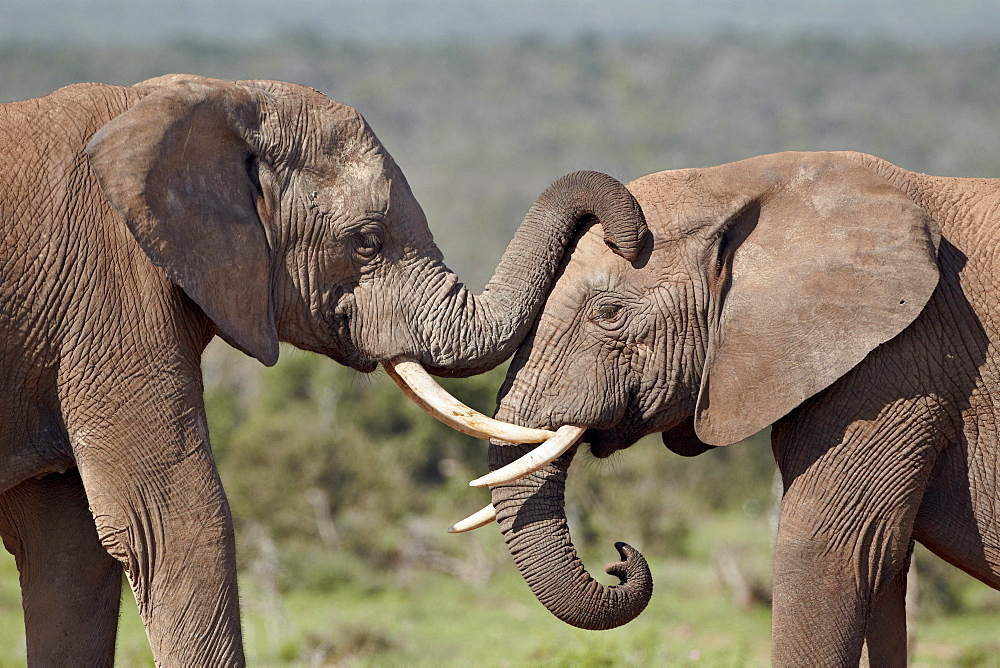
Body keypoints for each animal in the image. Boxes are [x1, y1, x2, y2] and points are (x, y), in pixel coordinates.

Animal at [0, 75, 648, 664]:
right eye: (368, 241)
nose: (629, 235)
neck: (213, 98)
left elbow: (70, 553)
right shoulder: (110, 294)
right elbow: (174, 521)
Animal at [452, 153, 1000, 668]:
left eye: (608, 313)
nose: (620, 558)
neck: (746, 182)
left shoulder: (896, 366)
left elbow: (830, 553)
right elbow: (881, 569)